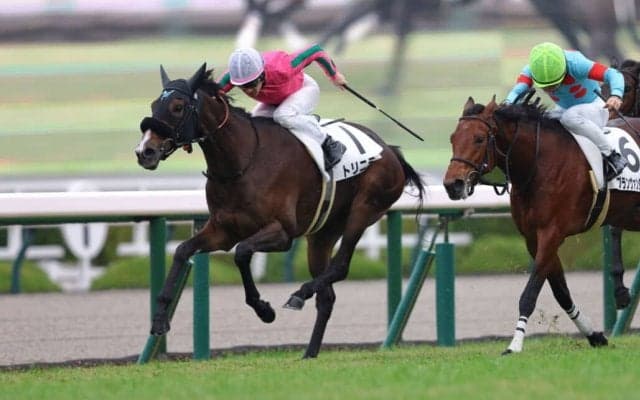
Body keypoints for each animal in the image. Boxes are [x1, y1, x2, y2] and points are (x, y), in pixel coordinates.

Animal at [135, 63, 425, 358]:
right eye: (154, 104)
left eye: (178, 107)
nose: (144, 152)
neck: (242, 161)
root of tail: (391, 150)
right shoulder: (222, 230)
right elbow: (183, 251)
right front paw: (159, 320)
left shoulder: (282, 232)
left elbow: (242, 253)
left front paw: (264, 310)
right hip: (323, 232)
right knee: (327, 296)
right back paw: (309, 352)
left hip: (364, 209)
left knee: (341, 266)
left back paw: (299, 295)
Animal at [442, 95, 640, 354]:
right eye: (453, 138)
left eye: (479, 138)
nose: (452, 185)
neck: (538, 164)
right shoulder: (533, 238)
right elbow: (560, 292)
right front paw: (594, 335)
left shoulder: (552, 232)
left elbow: (530, 293)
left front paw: (515, 344)